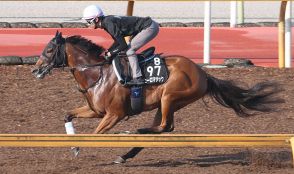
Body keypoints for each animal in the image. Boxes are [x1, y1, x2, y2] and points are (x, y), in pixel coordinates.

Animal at [33, 30, 284, 163]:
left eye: (49, 50)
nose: (35, 70)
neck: (97, 73)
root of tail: (203, 73)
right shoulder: (96, 111)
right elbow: (68, 115)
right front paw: (74, 146)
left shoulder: (114, 114)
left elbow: (95, 135)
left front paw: (79, 146)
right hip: (164, 103)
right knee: (161, 128)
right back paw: (127, 151)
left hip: (169, 97)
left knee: (164, 127)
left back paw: (132, 133)